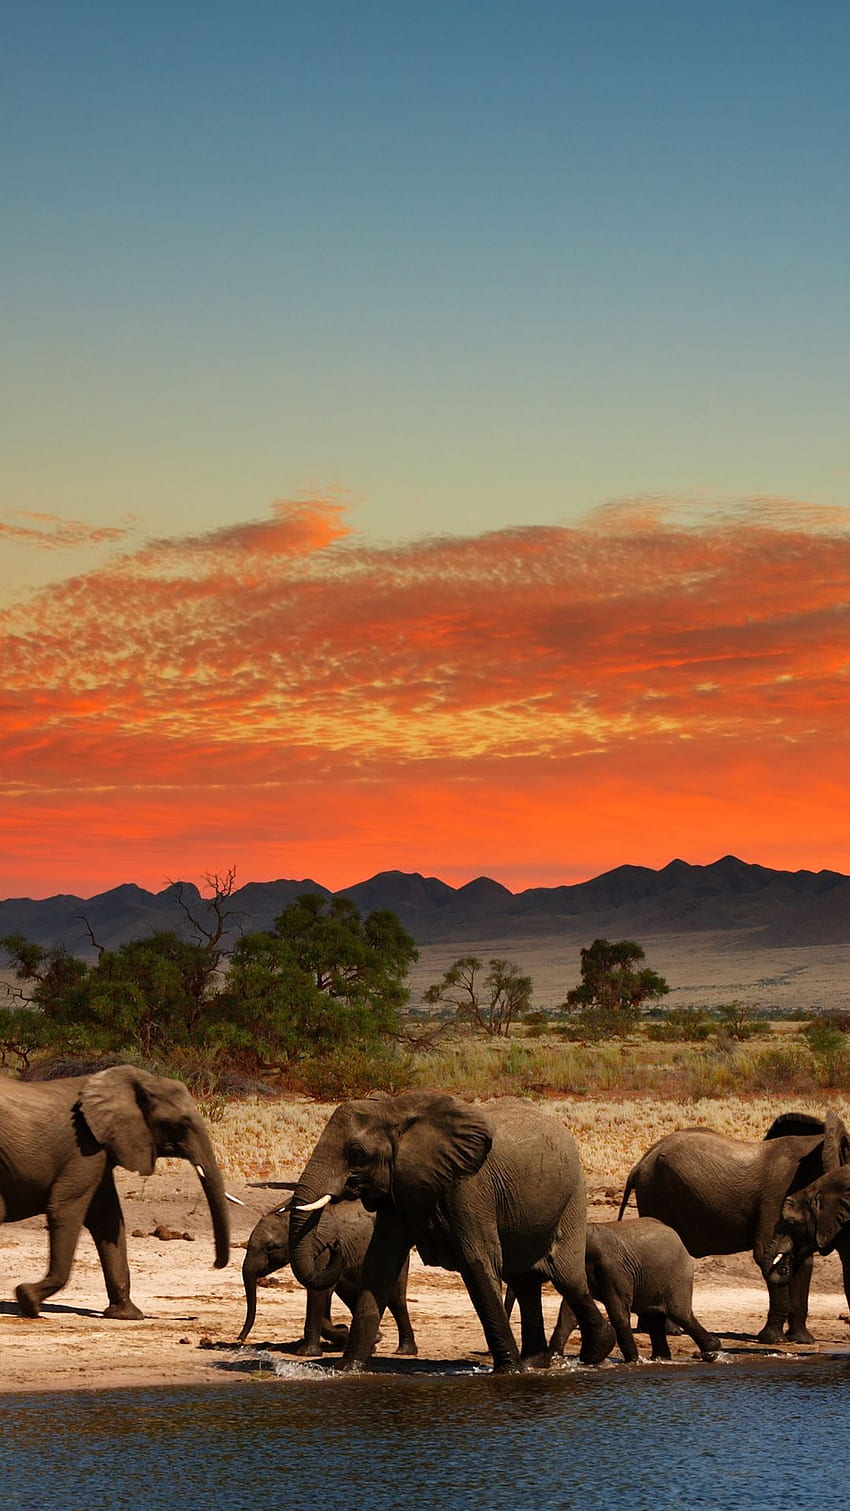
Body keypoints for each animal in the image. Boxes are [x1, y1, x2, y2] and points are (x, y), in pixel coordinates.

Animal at [0, 1057, 229, 1317]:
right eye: (180, 1125)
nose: (215, 1264)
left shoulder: (101, 1148)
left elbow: (108, 1218)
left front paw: (127, 1315)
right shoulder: (84, 1148)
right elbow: (64, 1209)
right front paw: (27, 1299)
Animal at [240, 1190, 419, 1359]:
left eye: (270, 1248)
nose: (240, 1339)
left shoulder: (321, 1250)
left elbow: (318, 1293)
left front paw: (308, 1353)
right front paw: (347, 1333)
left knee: (395, 1300)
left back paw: (403, 1351)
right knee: (353, 1295)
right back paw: (373, 1342)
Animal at [289, 1093, 615, 1378]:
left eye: (356, 1153)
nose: (333, 1246)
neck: (395, 1109)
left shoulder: (469, 1188)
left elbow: (477, 1263)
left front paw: (509, 1373)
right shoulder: (398, 1190)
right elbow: (380, 1266)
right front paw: (348, 1370)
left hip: (572, 1199)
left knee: (568, 1279)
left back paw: (595, 1350)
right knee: (526, 1283)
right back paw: (536, 1362)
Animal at [555, 1220, 721, 1365]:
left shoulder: (612, 1268)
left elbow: (618, 1312)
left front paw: (633, 1361)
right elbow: (569, 1312)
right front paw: (554, 1358)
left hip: (679, 1275)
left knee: (679, 1314)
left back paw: (712, 1351)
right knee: (654, 1318)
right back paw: (661, 1358)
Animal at [615, 1106, 845, 1341]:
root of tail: (639, 1165)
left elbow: (803, 1261)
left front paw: (802, 1341)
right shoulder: (777, 1197)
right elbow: (766, 1253)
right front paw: (774, 1340)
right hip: (657, 1194)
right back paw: (672, 1332)